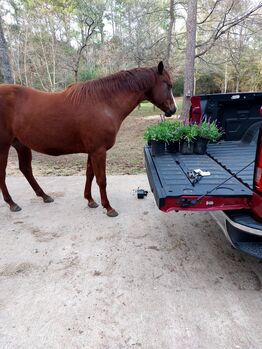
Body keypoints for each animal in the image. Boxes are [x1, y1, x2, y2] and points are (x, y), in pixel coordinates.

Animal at [0, 61, 177, 216]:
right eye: (168, 85)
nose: (173, 110)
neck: (103, 103)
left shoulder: (92, 151)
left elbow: (89, 175)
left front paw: (90, 200)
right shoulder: (99, 151)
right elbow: (101, 179)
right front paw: (108, 208)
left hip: (21, 144)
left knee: (26, 170)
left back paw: (44, 196)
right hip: (4, 146)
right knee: (3, 173)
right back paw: (12, 203)